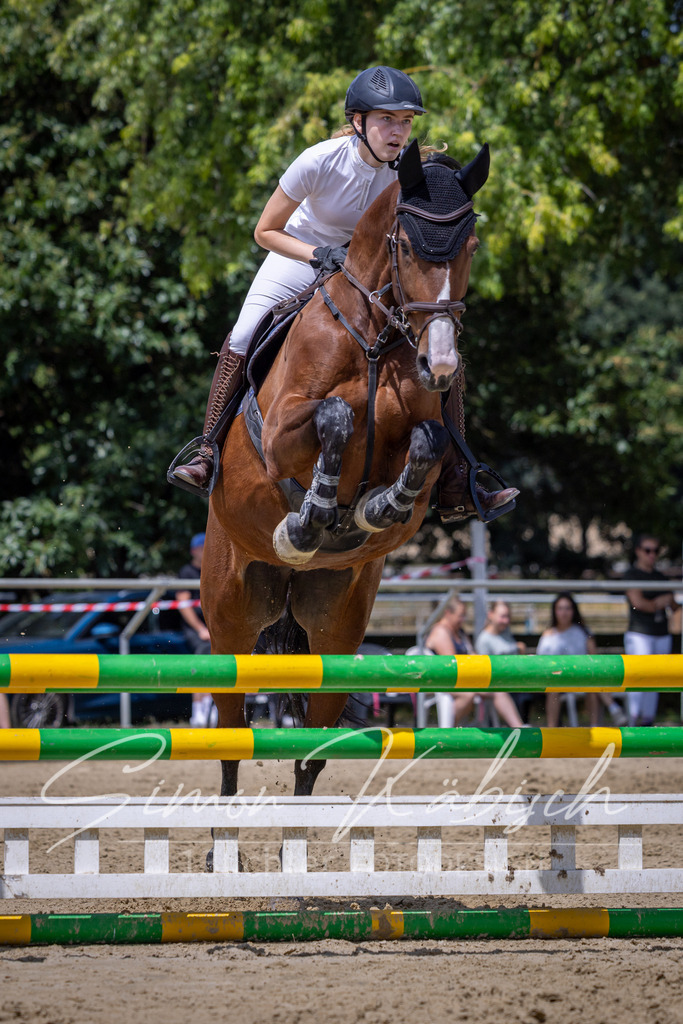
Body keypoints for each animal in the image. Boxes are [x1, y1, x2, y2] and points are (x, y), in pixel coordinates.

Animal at [201, 139, 490, 805]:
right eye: (405, 245)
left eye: (470, 247)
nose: (441, 364)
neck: (377, 338)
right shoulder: (281, 433)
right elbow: (333, 418)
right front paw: (309, 521)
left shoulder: (425, 435)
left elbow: (430, 441)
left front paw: (373, 509)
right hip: (230, 616)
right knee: (231, 738)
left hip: (336, 628)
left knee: (311, 750)